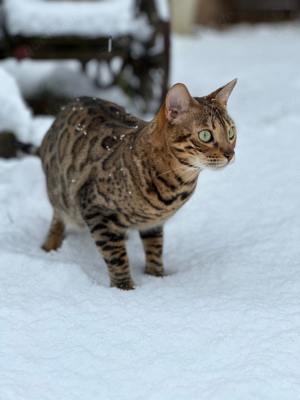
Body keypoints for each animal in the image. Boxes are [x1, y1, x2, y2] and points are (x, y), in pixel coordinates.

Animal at [38, 79, 238, 290]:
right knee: (58, 216)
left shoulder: (154, 223)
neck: (175, 186)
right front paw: (125, 288)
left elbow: (155, 249)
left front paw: (156, 277)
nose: (230, 153)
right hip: (60, 192)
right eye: (205, 135)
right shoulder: (95, 209)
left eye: (231, 132)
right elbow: (116, 256)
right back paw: (50, 245)